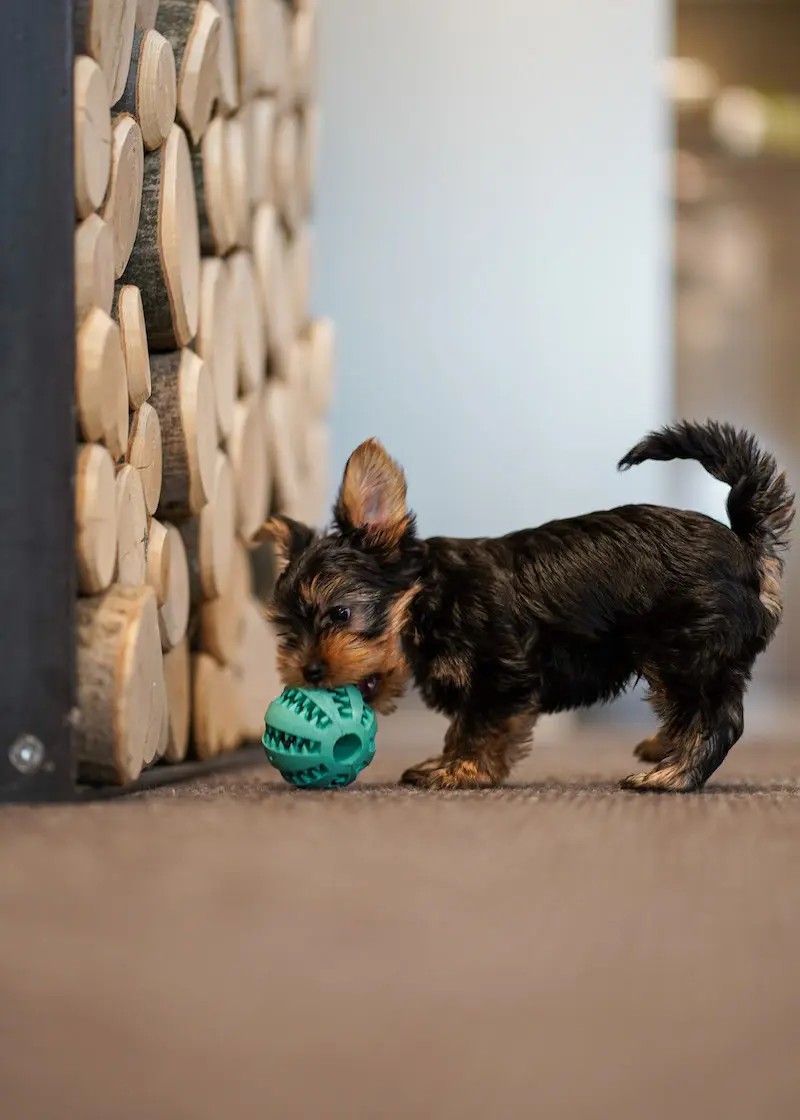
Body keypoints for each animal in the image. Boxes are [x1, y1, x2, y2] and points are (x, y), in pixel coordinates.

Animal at [255, 421, 793, 797]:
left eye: (339, 614)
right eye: (287, 633)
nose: (309, 671)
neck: (428, 600)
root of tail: (744, 545)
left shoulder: (499, 673)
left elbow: (480, 724)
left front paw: (463, 769)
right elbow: (462, 723)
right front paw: (444, 762)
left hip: (685, 648)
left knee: (716, 717)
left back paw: (674, 775)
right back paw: (666, 747)